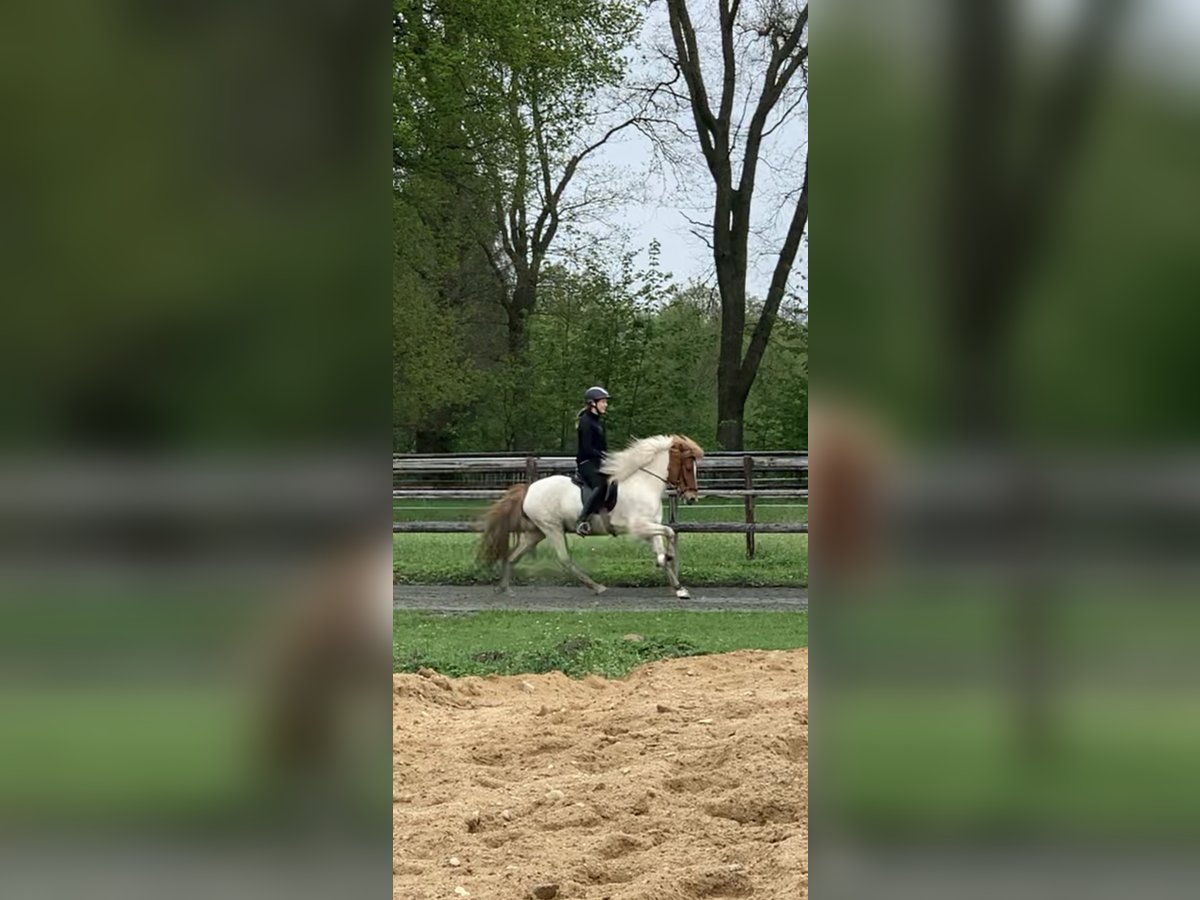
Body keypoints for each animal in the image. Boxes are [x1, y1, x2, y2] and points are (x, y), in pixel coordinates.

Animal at [477, 434, 700, 600]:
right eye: (689, 468)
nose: (692, 498)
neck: (643, 484)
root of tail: (528, 489)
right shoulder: (638, 526)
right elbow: (669, 532)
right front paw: (669, 559)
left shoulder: (651, 525)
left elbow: (664, 544)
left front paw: (678, 586)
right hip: (552, 528)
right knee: (564, 559)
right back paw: (596, 587)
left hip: (536, 532)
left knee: (513, 556)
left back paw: (504, 588)